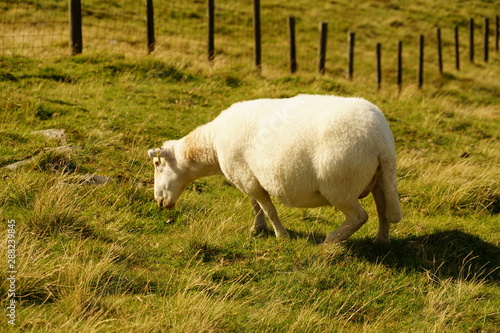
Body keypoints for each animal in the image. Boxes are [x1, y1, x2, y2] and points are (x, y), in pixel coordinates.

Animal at [146, 94, 402, 244]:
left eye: (158, 165)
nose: (159, 201)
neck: (213, 144)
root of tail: (381, 140)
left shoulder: (246, 178)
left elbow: (268, 209)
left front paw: (281, 235)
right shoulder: (249, 177)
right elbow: (256, 206)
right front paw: (257, 229)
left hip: (340, 186)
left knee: (359, 216)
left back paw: (332, 240)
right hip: (379, 179)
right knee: (382, 211)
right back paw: (381, 241)